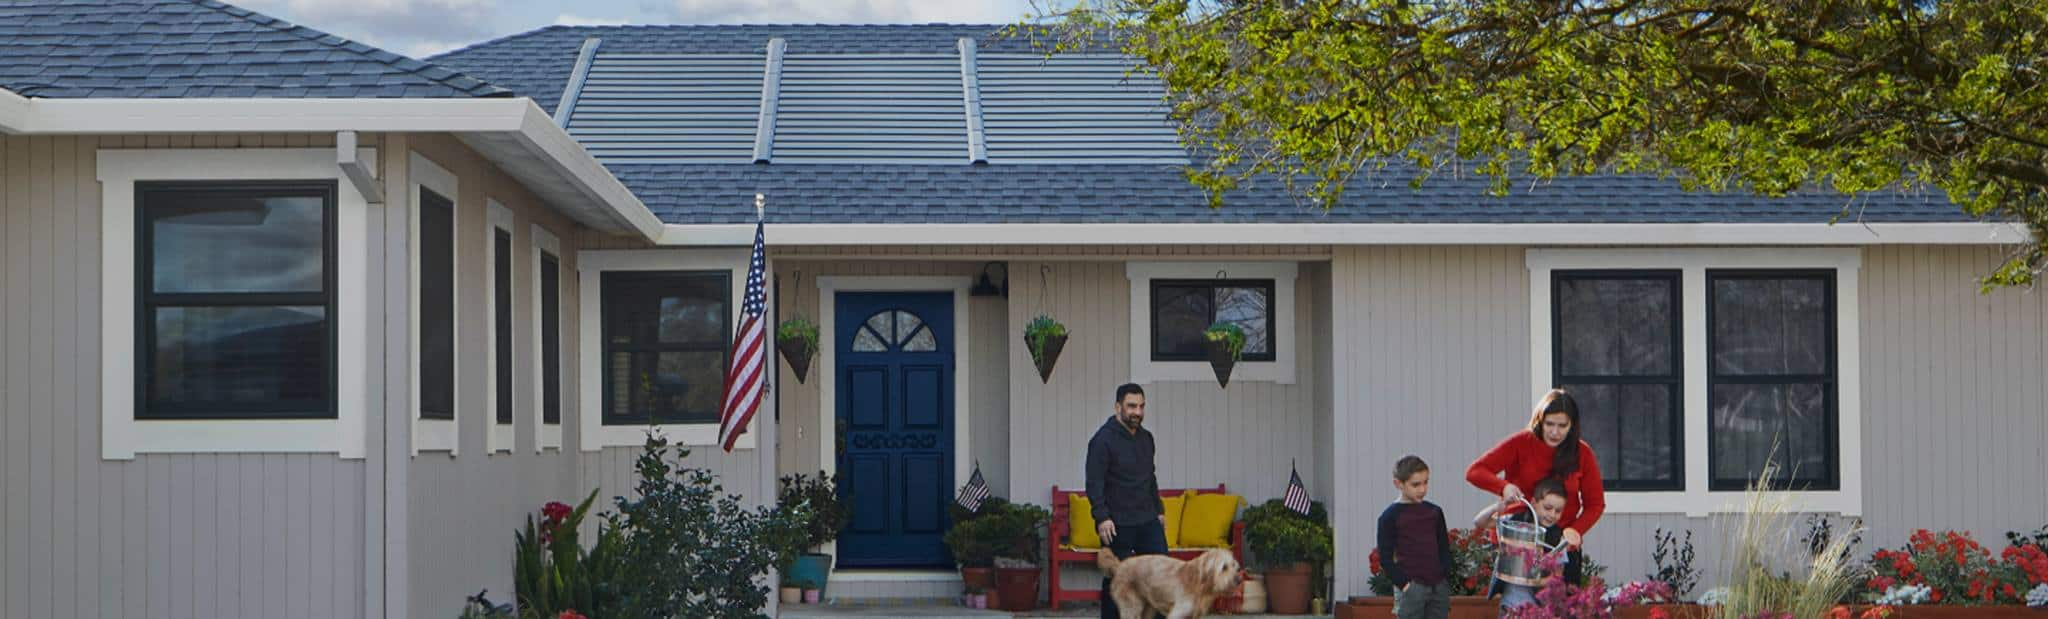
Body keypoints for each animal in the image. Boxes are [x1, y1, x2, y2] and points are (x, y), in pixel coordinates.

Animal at [1097, 549, 1236, 614]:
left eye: (1234, 565)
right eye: (1224, 568)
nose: (1238, 579)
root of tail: (1119, 566)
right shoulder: (1178, 612)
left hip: (1147, 607)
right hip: (1132, 606)